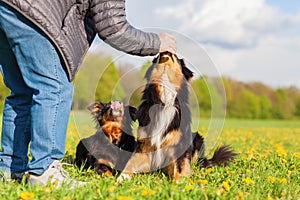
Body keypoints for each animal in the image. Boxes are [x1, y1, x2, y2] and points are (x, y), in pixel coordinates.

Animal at [117, 52, 237, 182]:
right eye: (156, 57)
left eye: (176, 56)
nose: (166, 51)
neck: (164, 103)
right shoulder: (143, 145)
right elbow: (131, 162)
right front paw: (122, 177)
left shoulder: (179, 146)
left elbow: (179, 167)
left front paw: (180, 182)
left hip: (198, 138)